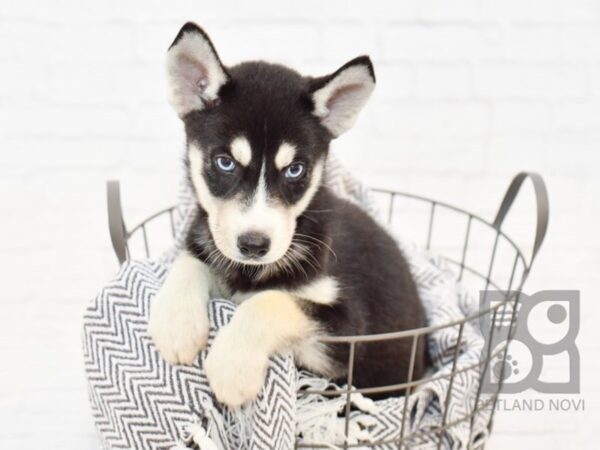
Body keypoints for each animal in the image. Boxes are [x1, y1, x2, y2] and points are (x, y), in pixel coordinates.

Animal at [149, 22, 426, 406]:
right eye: (225, 162)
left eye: (295, 170)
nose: (254, 245)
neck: (249, 273)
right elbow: (190, 258)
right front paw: (177, 323)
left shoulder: (347, 332)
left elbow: (273, 300)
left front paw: (232, 365)